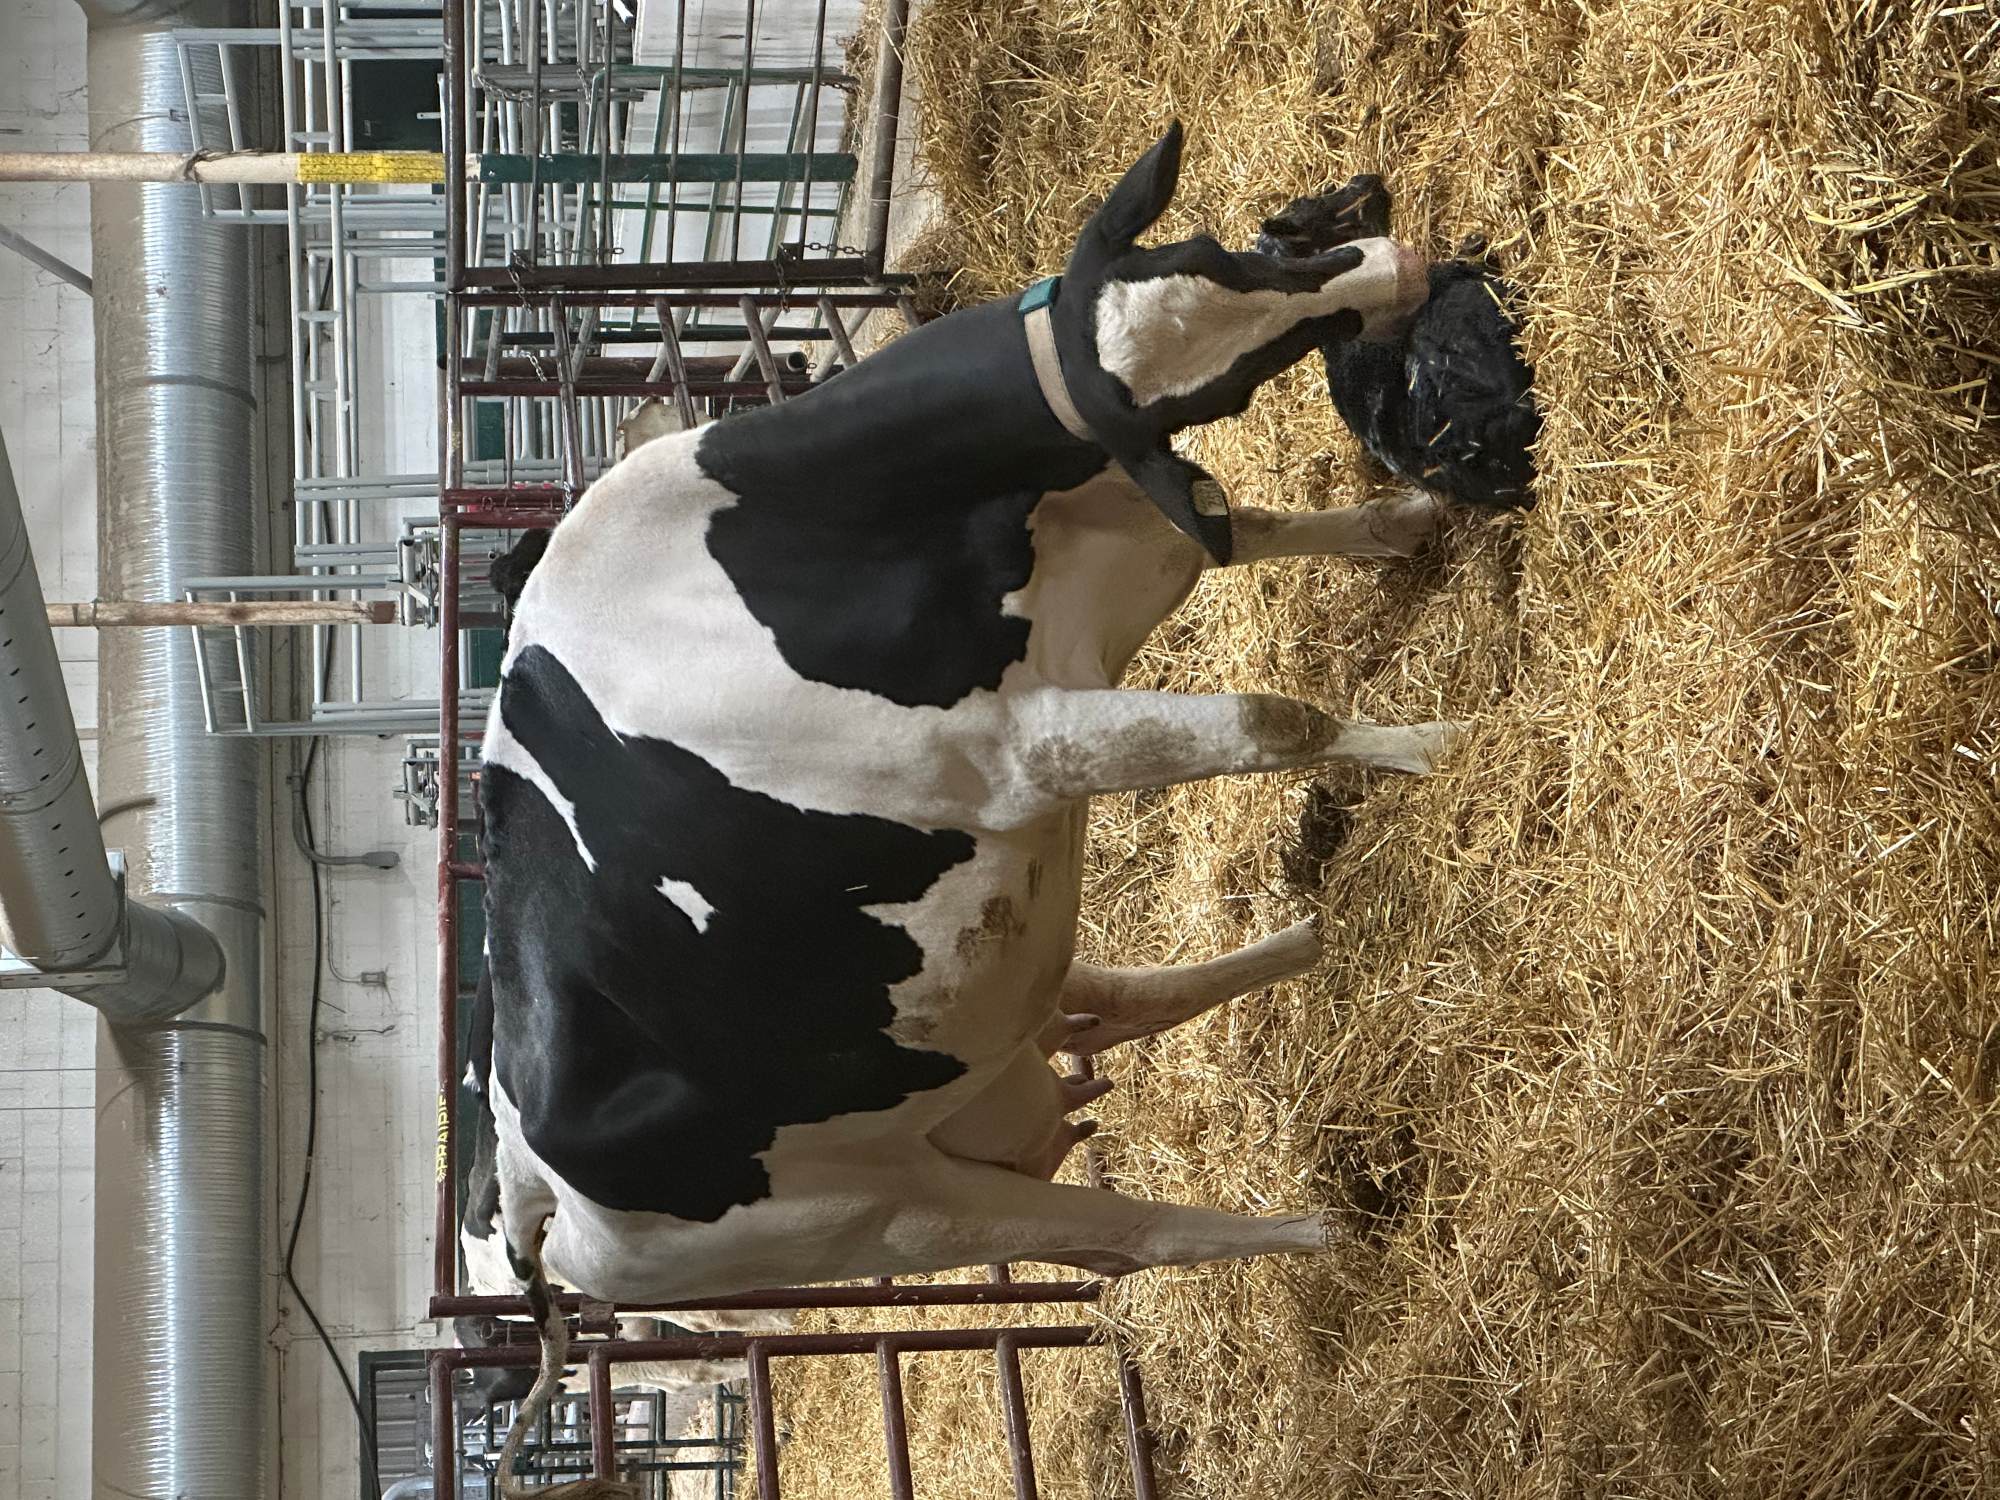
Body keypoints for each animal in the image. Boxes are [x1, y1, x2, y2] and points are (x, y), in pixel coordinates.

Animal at [476, 121, 1463, 1473]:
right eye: (1198, 399)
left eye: (1217, 251)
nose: (1396, 266)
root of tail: (531, 1192)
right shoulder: (1020, 751)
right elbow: (1273, 720)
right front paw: (1434, 744)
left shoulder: (1113, 567)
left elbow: (1255, 525)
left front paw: (1403, 521)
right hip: (891, 1220)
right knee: (1129, 1238)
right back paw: (1313, 1232)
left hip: (970, 1035)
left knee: (1107, 1004)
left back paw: (1301, 943)